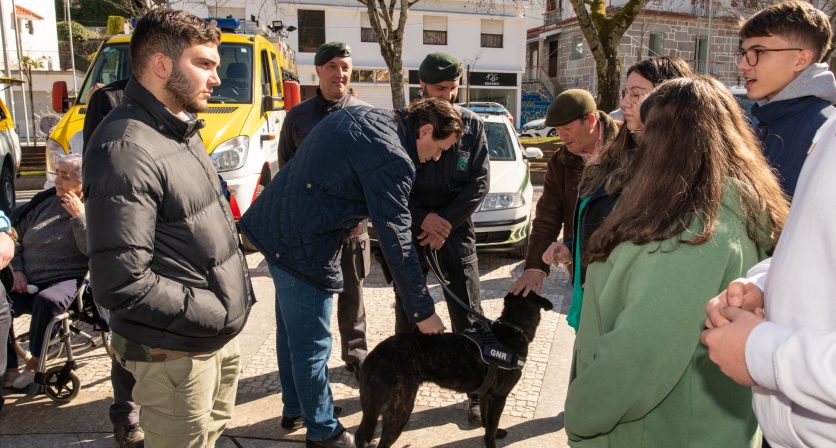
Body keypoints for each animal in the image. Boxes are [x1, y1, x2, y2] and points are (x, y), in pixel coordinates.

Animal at [356, 290, 552, 448]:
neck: (513, 329)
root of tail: (374, 356)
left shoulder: (485, 395)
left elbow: (487, 421)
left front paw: (492, 431)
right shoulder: (499, 397)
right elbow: (491, 428)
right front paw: (492, 440)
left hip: (373, 407)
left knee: (360, 435)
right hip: (400, 408)